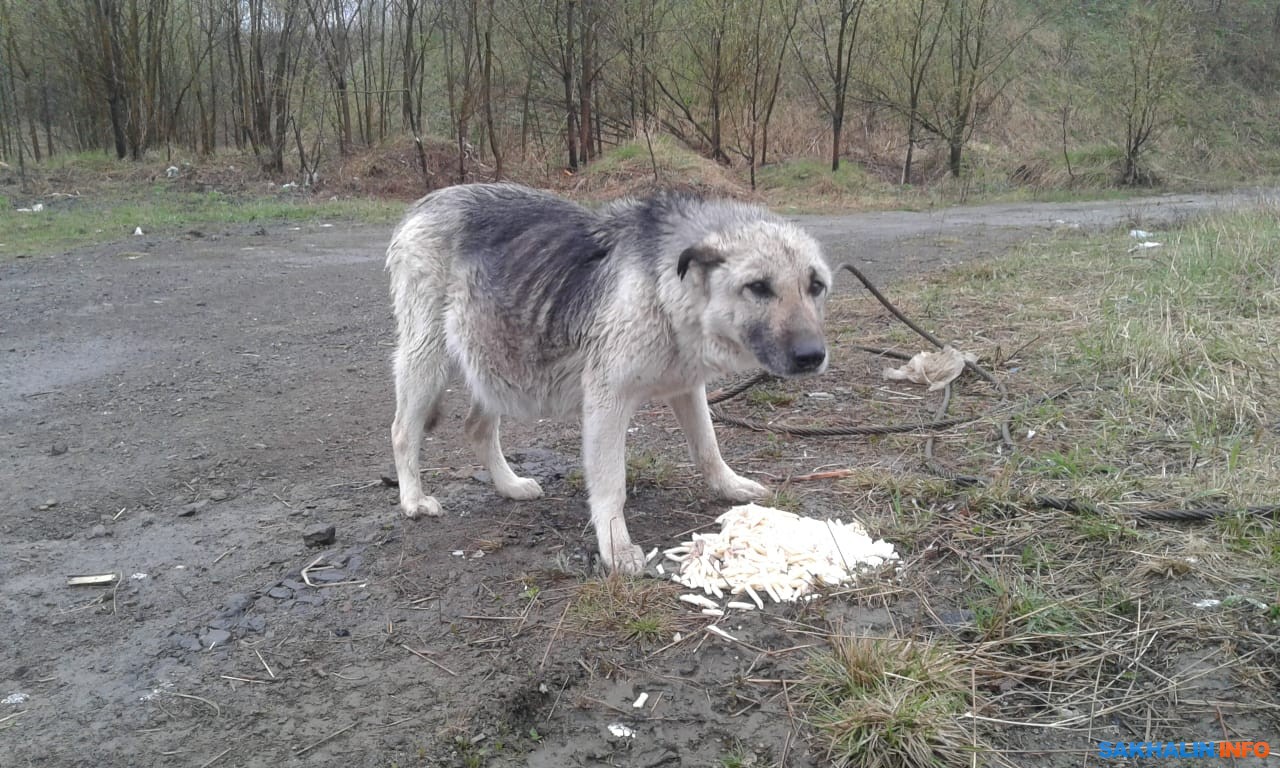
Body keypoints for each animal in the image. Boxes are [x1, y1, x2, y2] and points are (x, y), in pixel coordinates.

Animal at [384, 183, 834, 573]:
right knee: (403, 431)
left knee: (477, 429)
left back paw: (509, 486)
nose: (812, 357)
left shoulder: (687, 388)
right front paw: (616, 548)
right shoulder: (607, 402)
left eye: (815, 286)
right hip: (428, 360)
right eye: (758, 287)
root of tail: (427, 201)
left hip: (496, 362)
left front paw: (730, 488)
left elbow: (708, 448)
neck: (665, 289)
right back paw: (413, 499)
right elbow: (611, 485)